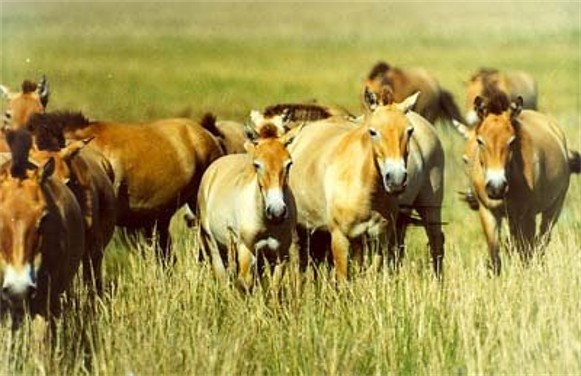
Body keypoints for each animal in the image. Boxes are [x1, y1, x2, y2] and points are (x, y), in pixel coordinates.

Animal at [196, 122, 296, 290]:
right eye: (257, 165)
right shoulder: (246, 250)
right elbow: (244, 283)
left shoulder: (280, 254)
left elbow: (274, 287)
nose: (277, 211)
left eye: (288, 164)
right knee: (222, 277)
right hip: (214, 245)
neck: (265, 222)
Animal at [288, 91, 428, 280]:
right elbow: (343, 279)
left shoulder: (379, 237)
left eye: (410, 130)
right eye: (373, 132)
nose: (396, 179)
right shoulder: (339, 238)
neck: (364, 188)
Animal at [454, 91, 580, 274]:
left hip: (553, 209)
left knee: (541, 241)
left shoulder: (527, 216)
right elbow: (495, 256)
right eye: (480, 141)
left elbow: (526, 251)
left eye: (512, 141)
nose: (496, 187)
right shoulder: (488, 213)